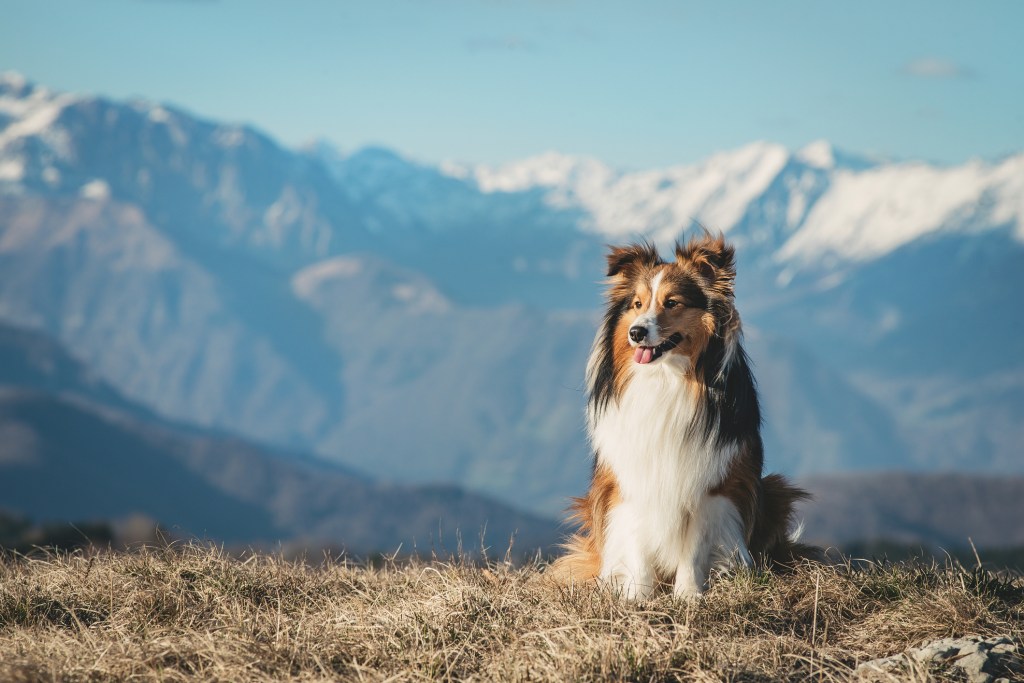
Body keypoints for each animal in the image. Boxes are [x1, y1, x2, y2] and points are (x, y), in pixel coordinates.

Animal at [552, 231, 806, 598]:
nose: (636, 333)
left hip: (775, 489)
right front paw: (638, 597)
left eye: (672, 303)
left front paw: (689, 596)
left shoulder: (710, 485)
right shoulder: (630, 482)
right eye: (637, 304)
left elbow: (695, 547)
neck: (666, 379)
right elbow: (638, 545)